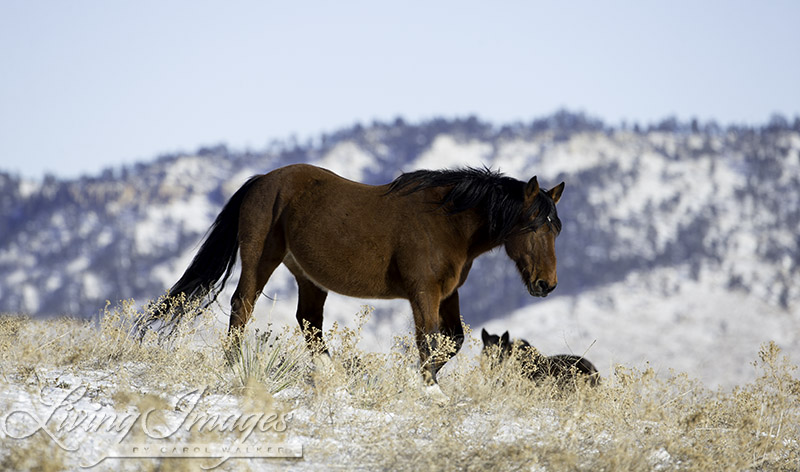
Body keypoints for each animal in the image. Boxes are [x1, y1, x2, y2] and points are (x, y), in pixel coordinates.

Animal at [148, 164, 564, 390]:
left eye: (555, 229)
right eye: (531, 226)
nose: (546, 284)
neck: (447, 222)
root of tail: (263, 179)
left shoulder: (448, 293)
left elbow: (452, 340)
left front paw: (422, 382)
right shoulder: (423, 293)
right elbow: (429, 340)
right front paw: (430, 390)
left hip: (308, 277)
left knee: (309, 322)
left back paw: (332, 377)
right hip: (260, 260)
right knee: (242, 306)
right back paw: (234, 366)